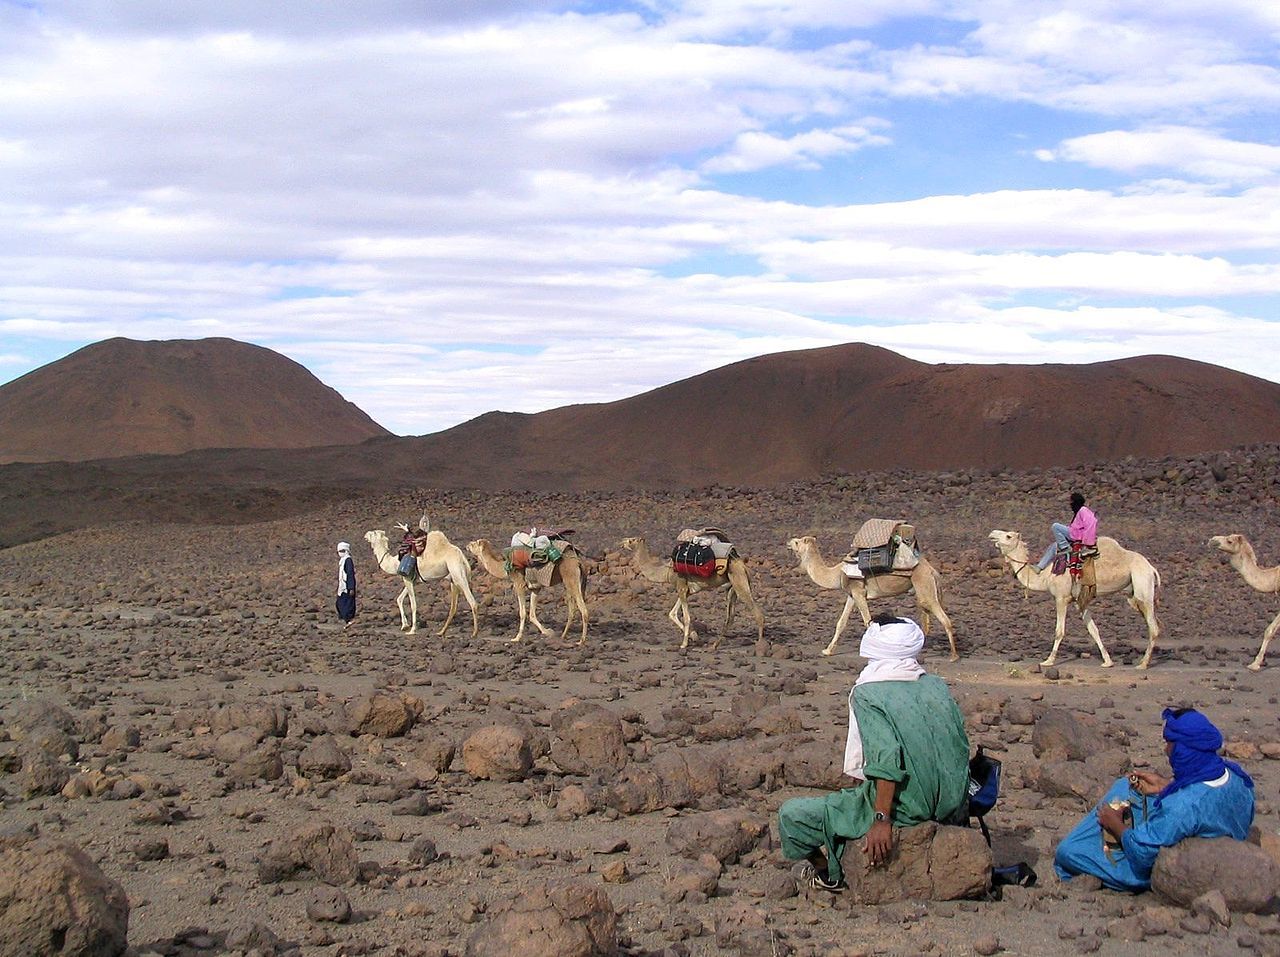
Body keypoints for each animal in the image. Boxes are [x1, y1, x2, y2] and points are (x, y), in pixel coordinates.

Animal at [363, 511, 478, 639]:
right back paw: (441, 632)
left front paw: (412, 630)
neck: (395, 562)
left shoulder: (406, 577)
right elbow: (399, 599)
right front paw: (404, 625)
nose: (365, 534)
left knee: (472, 602)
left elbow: (413, 604)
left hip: (457, 572)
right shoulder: (413, 579)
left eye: (373, 533)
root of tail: (462, 557)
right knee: (454, 606)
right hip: (455, 578)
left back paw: (474, 633)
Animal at [616, 537, 757, 649]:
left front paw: (684, 644)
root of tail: (741, 563)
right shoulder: (685, 590)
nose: (621, 543)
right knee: (732, 615)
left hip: (739, 580)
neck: (666, 572)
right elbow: (672, 614)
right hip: (733, 586)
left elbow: (687, 617)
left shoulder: (681, 587)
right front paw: (695, 637)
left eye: (631, 540)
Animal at [783, 534, 957, 660]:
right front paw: (827, 650)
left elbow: (868, 622)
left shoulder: (859, 593)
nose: (788, 542)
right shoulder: (852, 595)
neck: (837, 573)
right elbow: (841, 623)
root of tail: (932, 571)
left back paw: (954, 656)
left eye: (797, 542)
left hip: (924, 585)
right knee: (926, 621)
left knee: (944, 619)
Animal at [983, 527, 1167, 670]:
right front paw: (1107, 661)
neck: (1046, 576)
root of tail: (1151, 568)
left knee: (1153, 627)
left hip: (1143, 588)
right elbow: (1093, 630)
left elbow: (1059, 631)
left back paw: (1143, 664)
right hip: (1134, 593)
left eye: (1008, 536)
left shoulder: (1061, 597)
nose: (992, 533)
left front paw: (1048, 661)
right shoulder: (1080, 601)